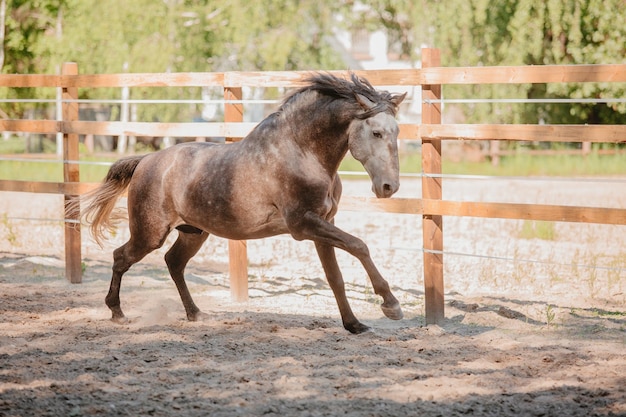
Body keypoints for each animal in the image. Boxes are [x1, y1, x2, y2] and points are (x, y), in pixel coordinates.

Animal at [75, 73, 408, 334]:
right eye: (376, 132)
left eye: (396, 131)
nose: (388, 187)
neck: (302, 153)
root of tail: (146, 160)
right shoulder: (303, 224)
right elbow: (359, 245)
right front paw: (391, 305)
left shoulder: (324, 223)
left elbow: (335, 277)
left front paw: (354, 325)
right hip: (150, 234)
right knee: (121, 257)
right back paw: (117, 313)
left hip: (193, 232)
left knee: (174, 262)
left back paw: (195, 313)